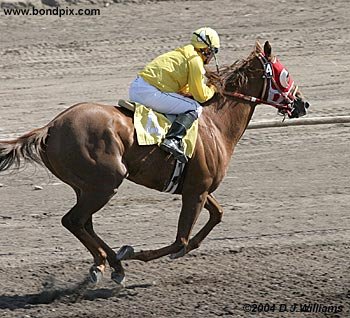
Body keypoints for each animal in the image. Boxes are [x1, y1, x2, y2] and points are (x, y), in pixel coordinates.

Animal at [0, 41, 308, 284]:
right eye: (284, 74)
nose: (303, 104)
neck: (216, 123)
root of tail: (51, 127)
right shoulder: (196, 190)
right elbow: (181, 239)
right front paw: (136, 252)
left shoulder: (197, 188)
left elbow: (215, 218)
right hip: (105, 183)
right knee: (74, 220)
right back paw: (113, 263)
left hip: (85, 187)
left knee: (83, 223)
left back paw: (107, 264)